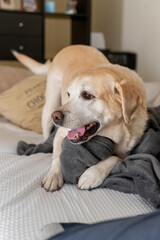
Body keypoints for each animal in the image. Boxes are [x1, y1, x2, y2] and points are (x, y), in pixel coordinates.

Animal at [13, 44, 148, 191]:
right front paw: (54, 175)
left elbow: (113, 159)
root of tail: (72, 46)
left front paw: (92, 175)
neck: (116, 130)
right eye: (69, 94)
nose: (56, 117)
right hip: (50, 105)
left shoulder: (126, 153)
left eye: (87, 95)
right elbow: (58, 156)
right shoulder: (61, 134)